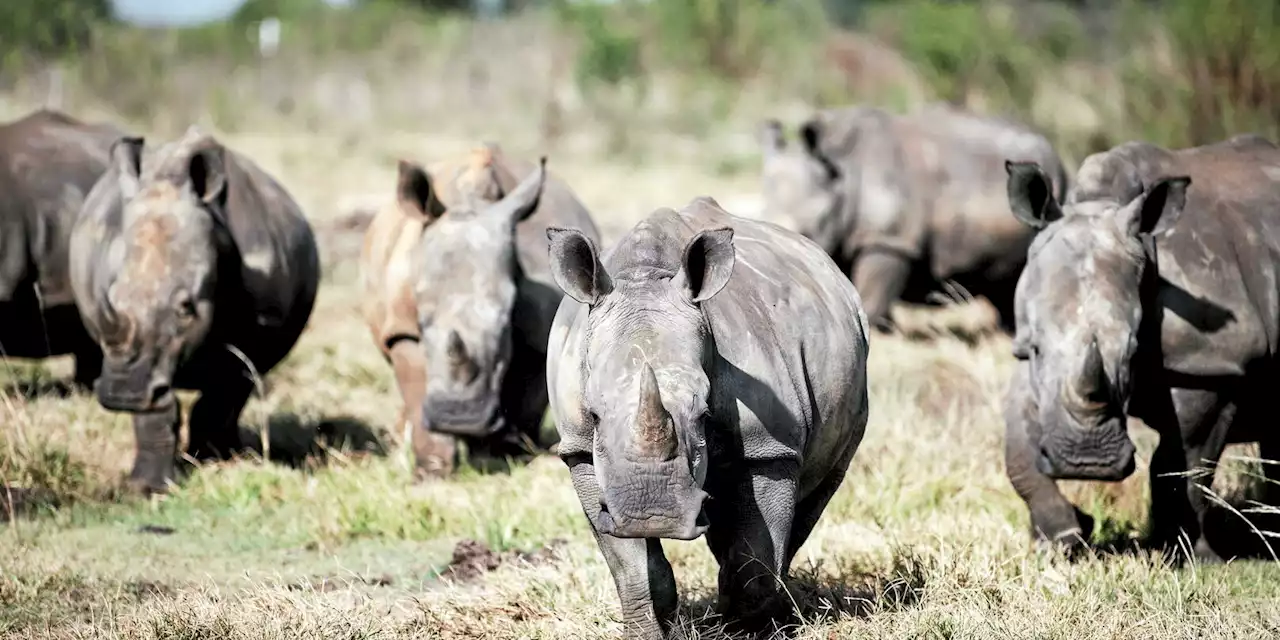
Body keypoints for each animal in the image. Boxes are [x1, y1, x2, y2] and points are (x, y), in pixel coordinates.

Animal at [70, 127, 322, 491]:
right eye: (112, 298)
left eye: (186, 308)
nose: (122, 394)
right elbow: (157, 408)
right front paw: (146, 489)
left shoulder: (259, 333)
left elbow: (224, 392)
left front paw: (214, 463)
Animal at [360, 144, 599, 476]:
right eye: (422, 319)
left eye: (506, 320)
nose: (461, 418)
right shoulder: (402, 328)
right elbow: (416, 385)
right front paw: (433, 471)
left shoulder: (541, 332)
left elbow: (528, 395)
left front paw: (502, 456)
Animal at [545, 197, 875, 637]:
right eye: (595, 414)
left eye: (703, 412)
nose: (654, 516)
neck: (645, 275)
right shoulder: (580, 449)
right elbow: (632, 566)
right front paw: (651, 630)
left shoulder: (767, 448)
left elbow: (754, 555)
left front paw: (749, 631)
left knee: (814, 496)